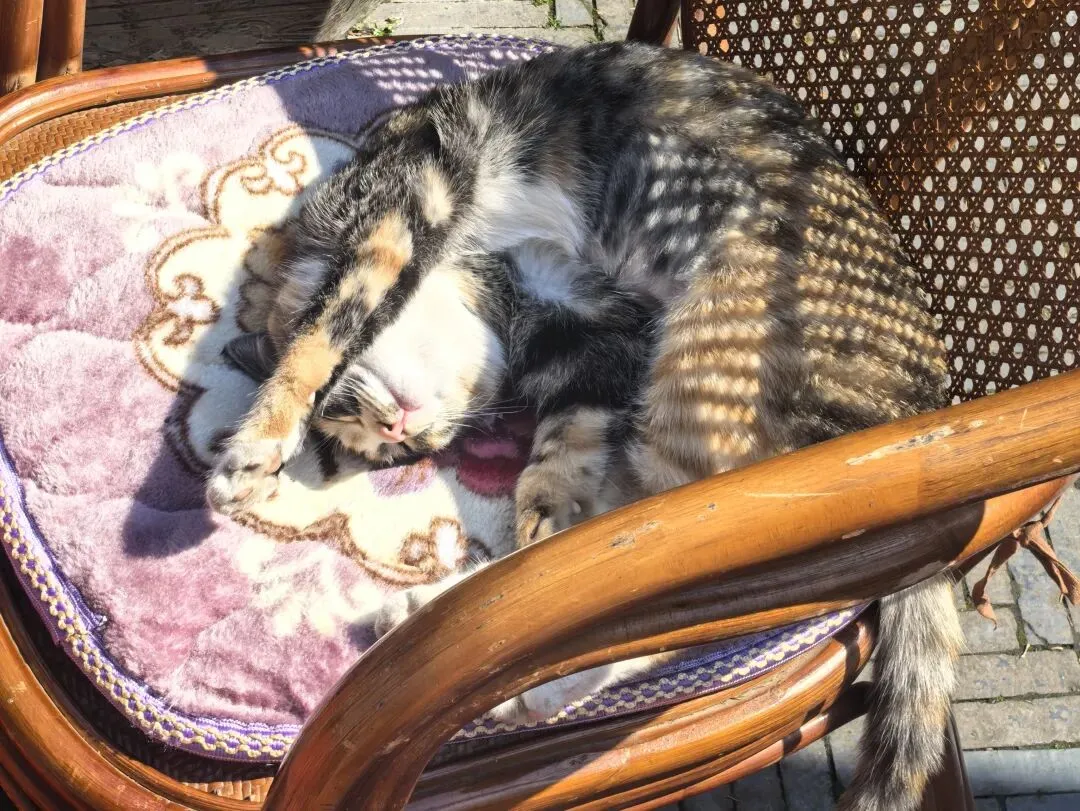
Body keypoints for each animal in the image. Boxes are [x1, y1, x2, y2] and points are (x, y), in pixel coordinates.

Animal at [207, 42, 960, 811]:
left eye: (350, 411)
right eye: (402, 453)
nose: (400, 433)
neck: (495, 285)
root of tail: (919, 415)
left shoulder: (408, 198)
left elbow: (328, 326)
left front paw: (257, 445)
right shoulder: (595, 343)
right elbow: (561, 478)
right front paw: (547, 518)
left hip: (708, 368)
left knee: (697, 592)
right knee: (677, 576)